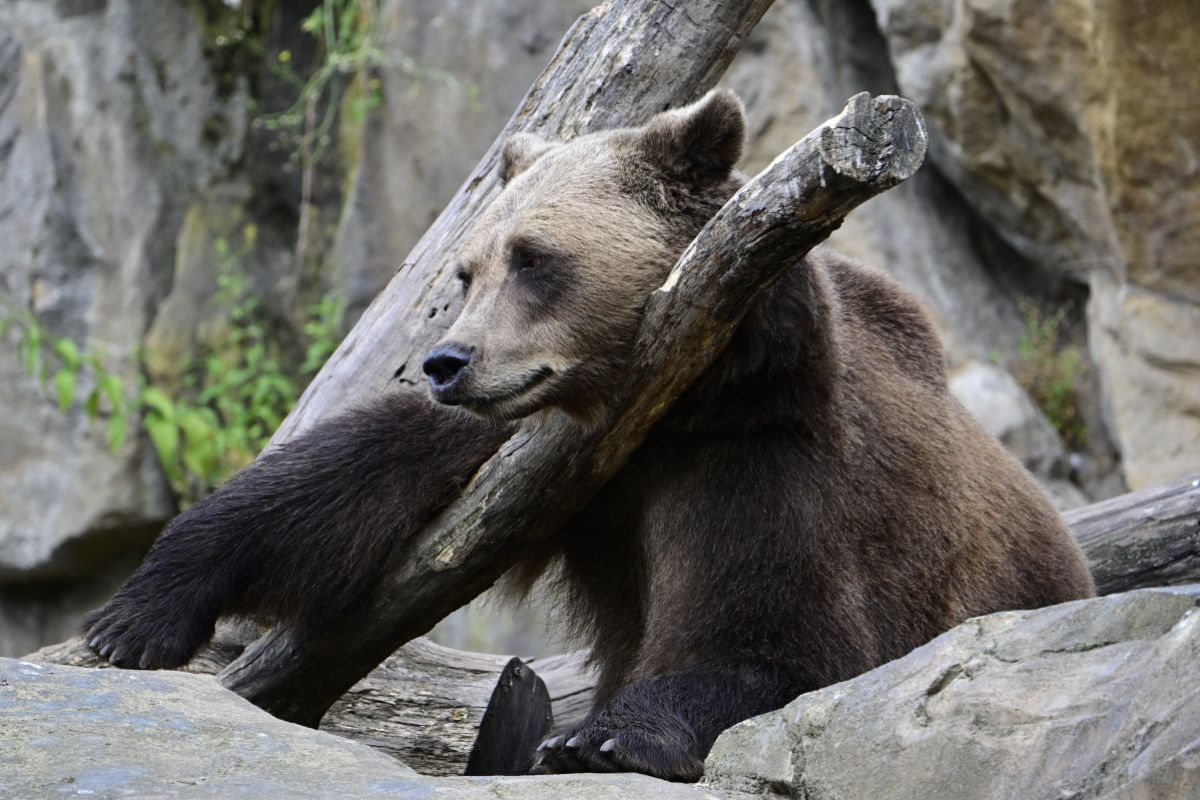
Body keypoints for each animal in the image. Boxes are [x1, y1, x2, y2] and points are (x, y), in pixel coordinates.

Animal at [81, 89, 1095, 783]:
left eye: (536, 259)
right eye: (468, 268)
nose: (445, 360)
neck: (654, 405)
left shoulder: (759, 446)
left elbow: (775, 636)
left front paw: (602, 732)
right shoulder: (543, 447)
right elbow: (350, 477)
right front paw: (131, 616)